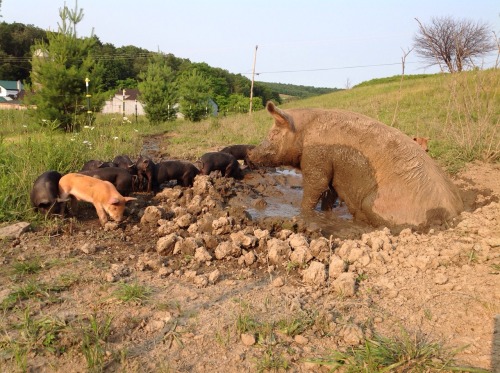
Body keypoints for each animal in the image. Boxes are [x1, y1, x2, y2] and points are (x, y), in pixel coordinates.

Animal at [248, 100, 462, 227]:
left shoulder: (316, 158)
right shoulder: (334, 173)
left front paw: (303, 215)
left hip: (376, 203)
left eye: (274, 134)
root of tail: (451, 214)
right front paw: (326, 214)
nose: (250, 153)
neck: (304, 131)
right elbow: (330, 195)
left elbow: (315, 187)